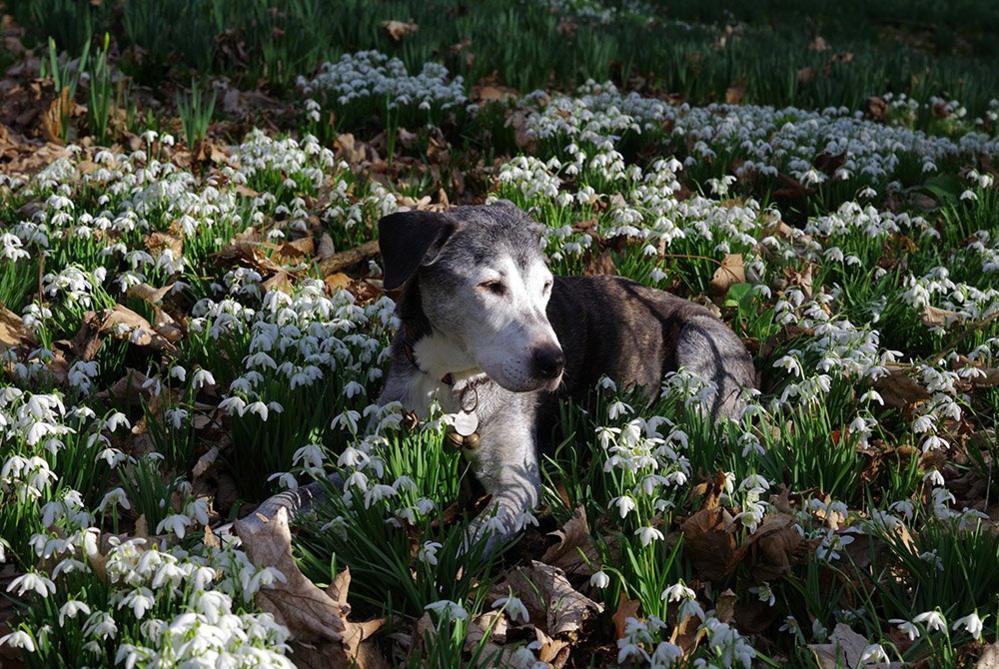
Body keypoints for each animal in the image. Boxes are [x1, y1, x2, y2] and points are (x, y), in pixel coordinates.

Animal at [378, 201, 752, 552]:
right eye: (491, 285)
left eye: (546, 285)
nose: (555, 363)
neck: (452, 379)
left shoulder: (517, 488)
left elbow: (465, 549)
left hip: (699, 341)